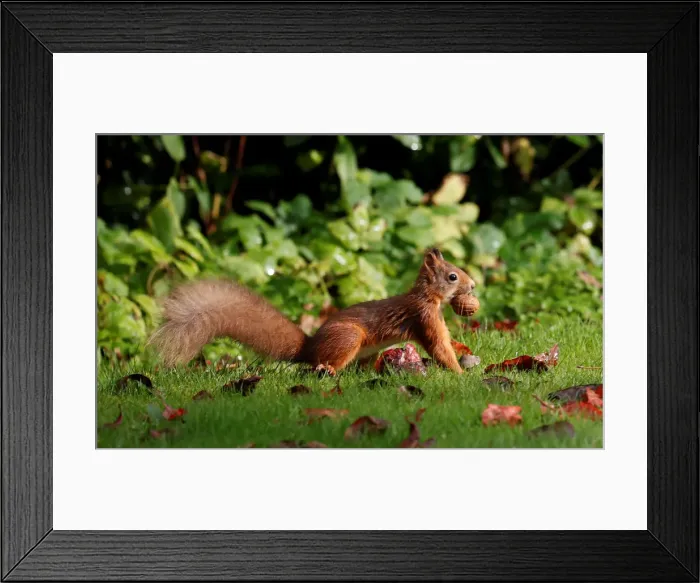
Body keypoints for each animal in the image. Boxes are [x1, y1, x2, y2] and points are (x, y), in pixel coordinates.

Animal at [148, 248, 477, 374]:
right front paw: (460, 374)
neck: (429, 297)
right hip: (349, 338)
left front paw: (464, 350)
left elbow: (447, 341)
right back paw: (327, 369)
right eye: (452, 276)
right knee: (323, 364)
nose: (473, 285)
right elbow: (438, 346)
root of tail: (308, 348)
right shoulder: (424, 316)